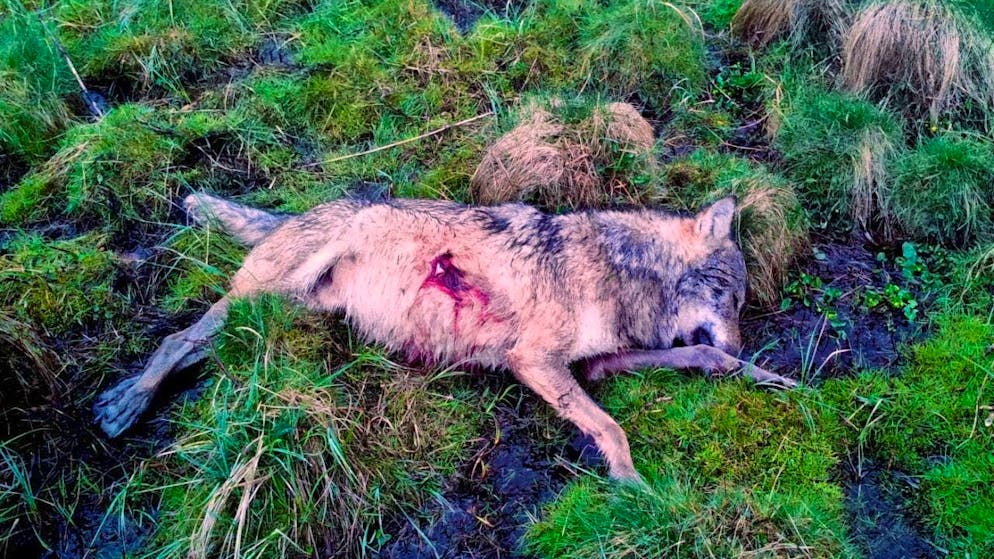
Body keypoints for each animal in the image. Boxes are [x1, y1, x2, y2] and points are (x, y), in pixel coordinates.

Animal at [93, 193, 796, 480]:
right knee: (181, 340)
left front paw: (767, 375)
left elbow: (695, 353)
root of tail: (302, 210)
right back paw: (127, 402)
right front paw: (633, 487)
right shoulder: (532, 361)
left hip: (287, 310)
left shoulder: (594, 365)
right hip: (267, 296)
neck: (622, 270)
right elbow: (614, 428)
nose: (741, 342)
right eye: (731, 298)